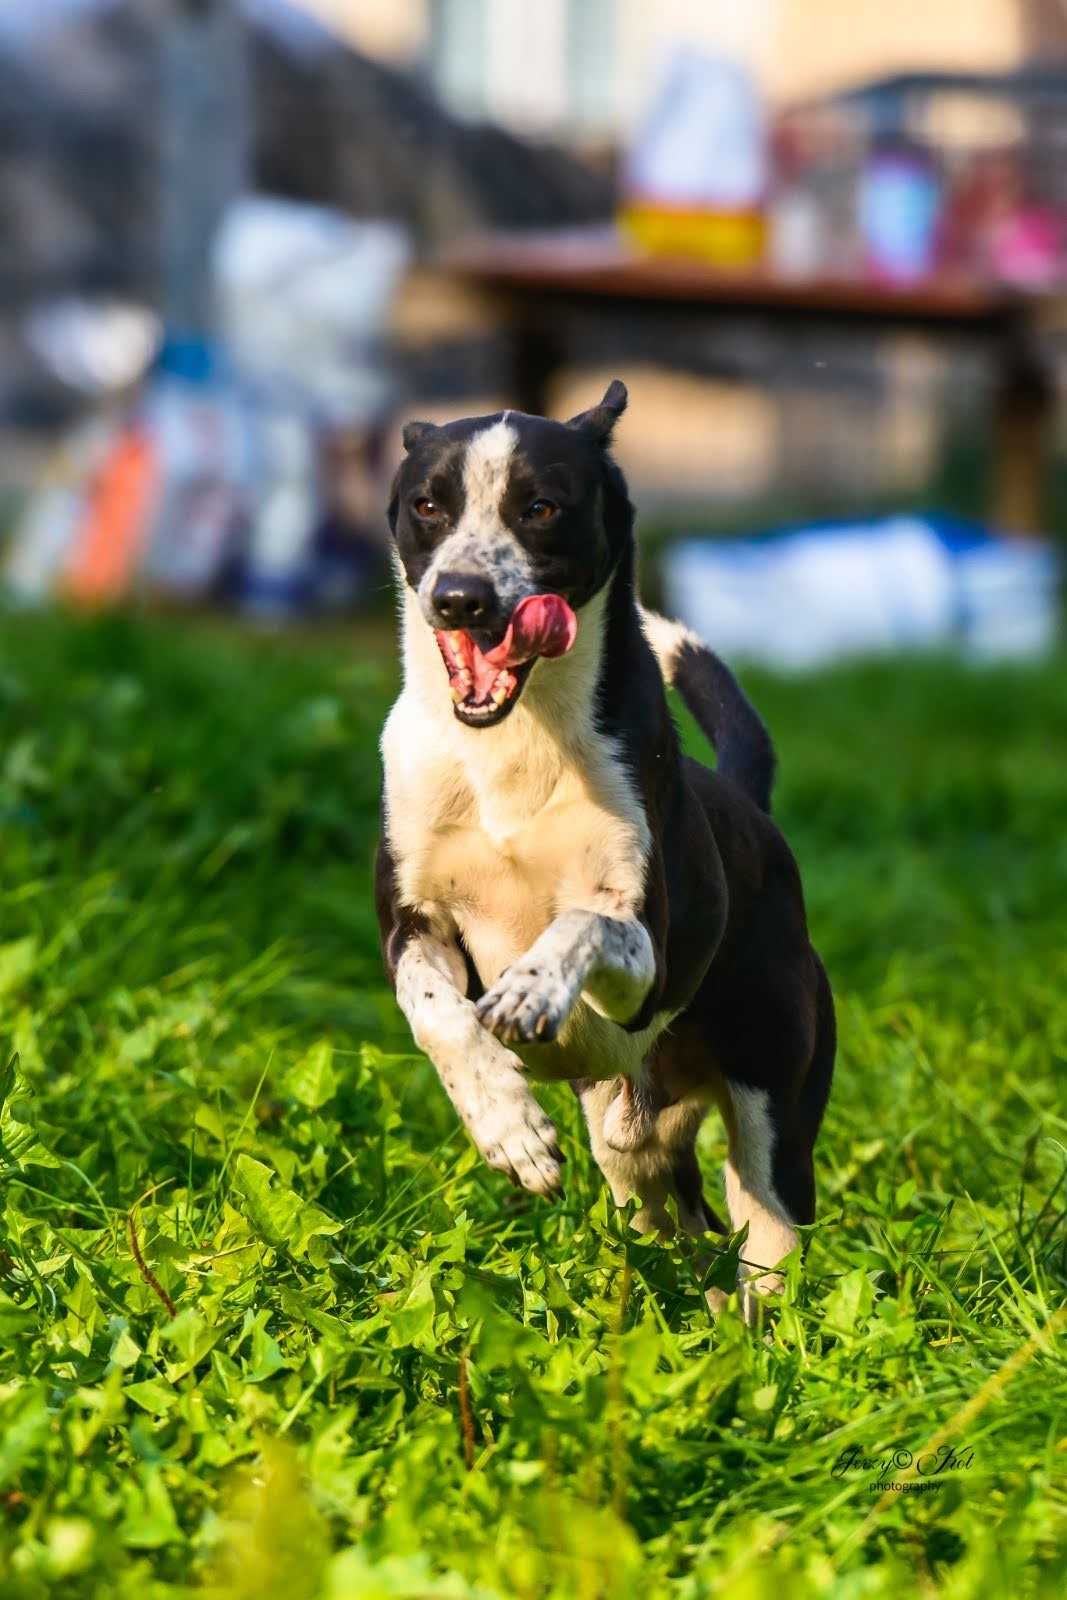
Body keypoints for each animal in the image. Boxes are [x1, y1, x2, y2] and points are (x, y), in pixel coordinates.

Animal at [375, 380, 831, 1318]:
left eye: (540, 507)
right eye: (428, 506)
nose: (461, 598)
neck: (512, 744)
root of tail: (749, 808)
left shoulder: (642, 954)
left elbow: (584, 924)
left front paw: (532, 988)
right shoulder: (412, 922)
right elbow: (438, 1015)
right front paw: (509, 1129)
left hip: (772, 1103)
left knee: (763, 1226)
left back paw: (761, 1336)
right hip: (633, 1147)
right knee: (682, 1220)